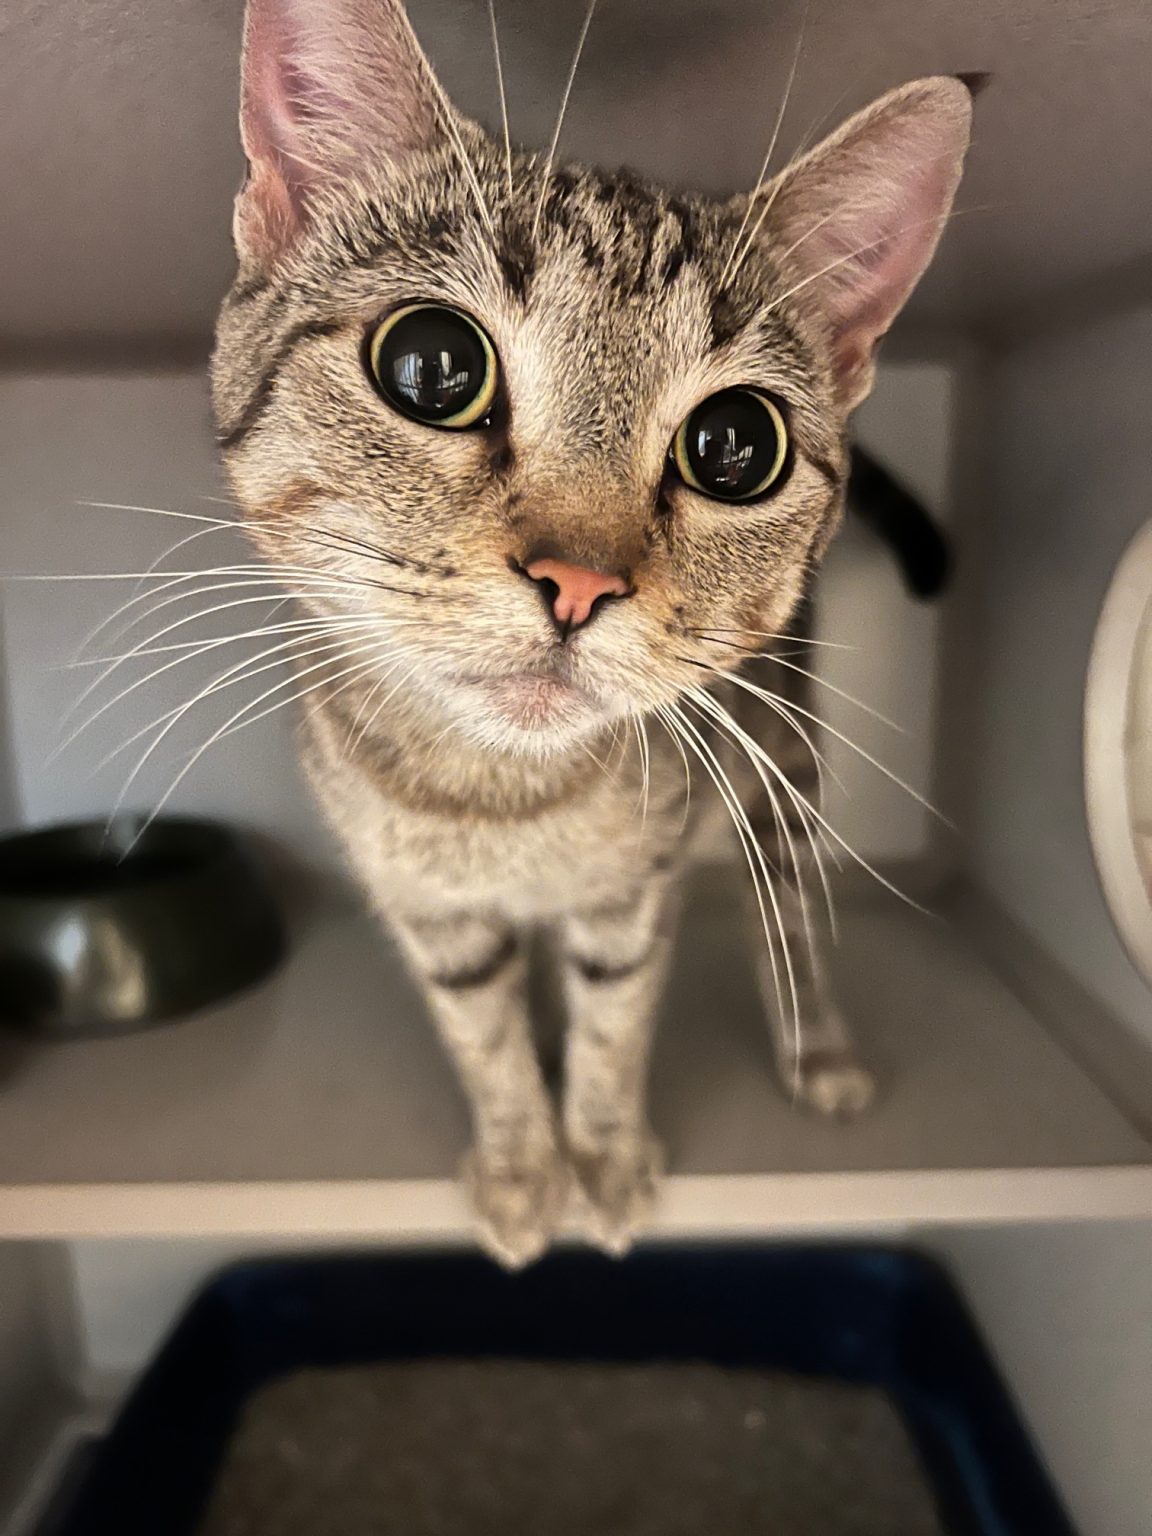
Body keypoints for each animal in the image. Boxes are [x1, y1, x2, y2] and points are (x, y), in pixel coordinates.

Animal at [212, 0, 971, 1266]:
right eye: (431, 364)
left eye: (735, 447)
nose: (576, 581)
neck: (506, 802)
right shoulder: (425, 904)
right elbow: (482, 1036)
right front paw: (527, 1159)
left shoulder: (639, 886)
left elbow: (618, 1017)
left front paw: (602, 1153)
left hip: (782, 761)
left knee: (791, 908)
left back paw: (816, 1045)